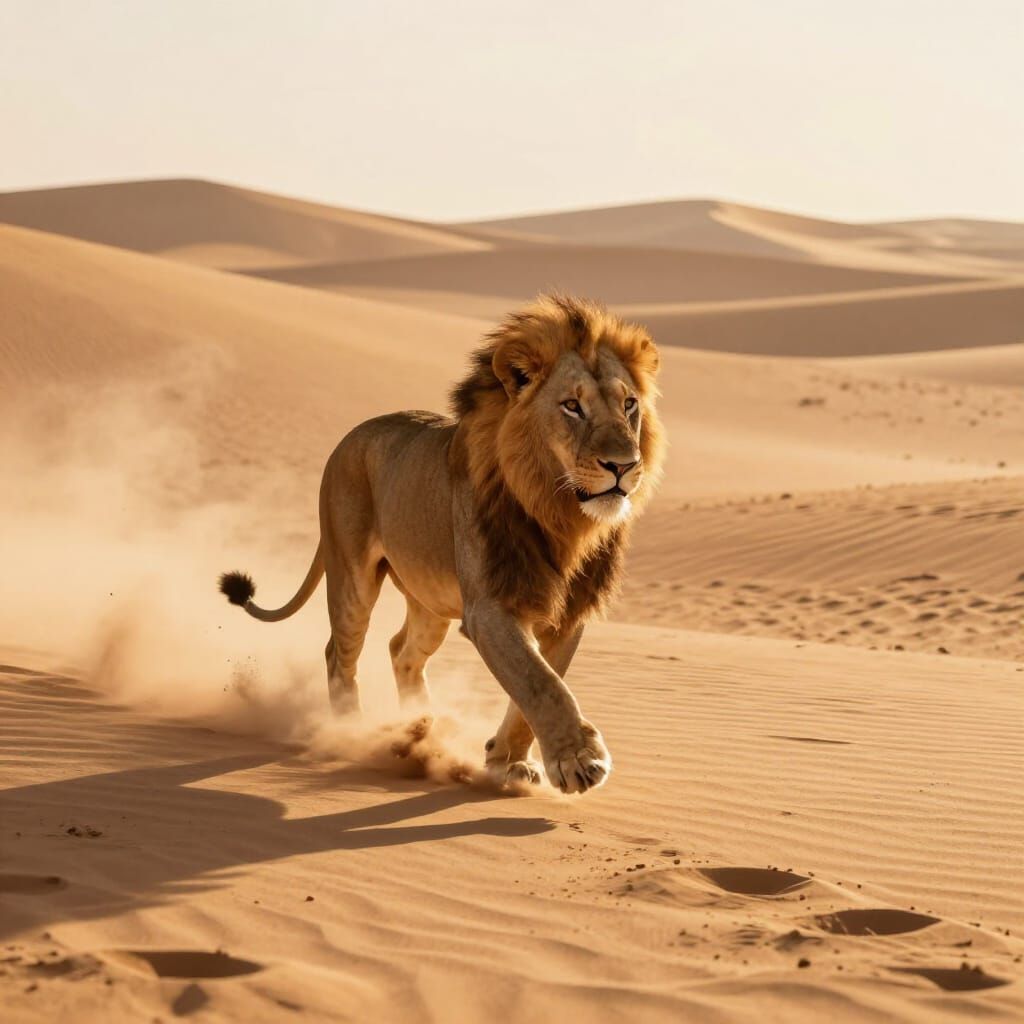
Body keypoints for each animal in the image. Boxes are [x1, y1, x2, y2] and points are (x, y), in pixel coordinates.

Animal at [219, 294, 664, 793]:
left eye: (629, 404)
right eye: (572, 406)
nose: (623, 466)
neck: (560, 515)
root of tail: (348, 437)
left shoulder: (569, 612)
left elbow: (536, 688)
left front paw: (507, 761)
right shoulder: (489, 608)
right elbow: (540, 683)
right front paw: (578, 759)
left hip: (429, 602)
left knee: (401, 650)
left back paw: (418, 727)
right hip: (352, 577)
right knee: (339, 653)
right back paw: (352, 732)